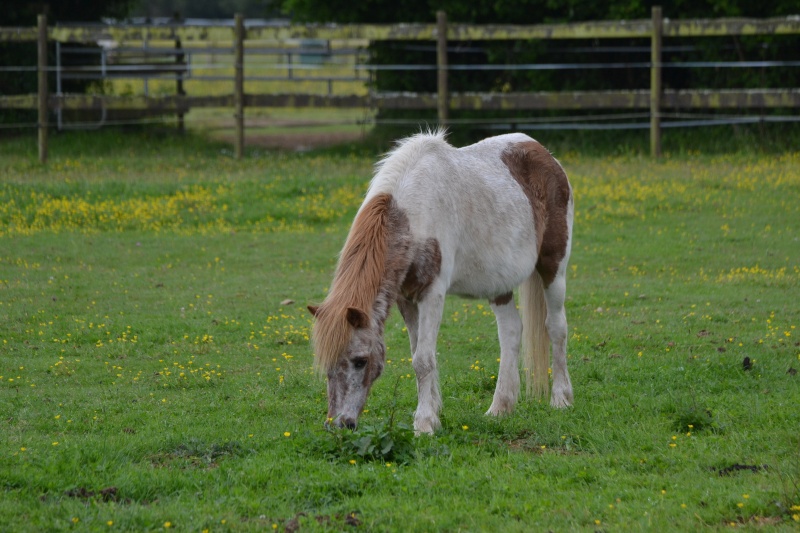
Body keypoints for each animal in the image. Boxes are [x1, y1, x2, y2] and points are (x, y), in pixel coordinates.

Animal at [308, 131, 576, 434]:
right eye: (327, 363)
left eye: (360, 361)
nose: (339, 424)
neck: (412, 214)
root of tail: (543, 152)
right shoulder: (405, 297)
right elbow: (419, 354)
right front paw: (433, 413)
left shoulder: (432, 293)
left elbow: (423, 360)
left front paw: (424, 424)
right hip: (499, 285)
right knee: (510, 331)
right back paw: (500, 407)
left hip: (554, 267)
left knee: (556, 328)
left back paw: (561, 398)